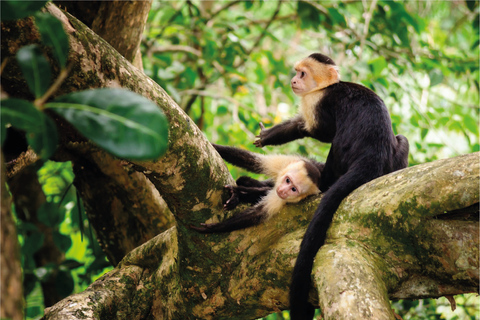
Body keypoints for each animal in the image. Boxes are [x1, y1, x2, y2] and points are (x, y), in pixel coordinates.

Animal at [189, 144, 324, 232]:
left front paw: (214, 228)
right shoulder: (285, 163)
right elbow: (251, 160)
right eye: (287, 180)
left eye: (294, 189)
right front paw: (214, 146)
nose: (283, 190)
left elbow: (256, 214)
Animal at [255, 53, 408, 320]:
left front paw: (274, 135)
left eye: (302, 74)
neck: (327, 86)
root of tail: (373, 156)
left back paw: (324, 183)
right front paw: (268, 135)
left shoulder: (318, 100)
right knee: (402, 141)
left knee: (335, 143)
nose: (293, 81)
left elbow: (318, 132)